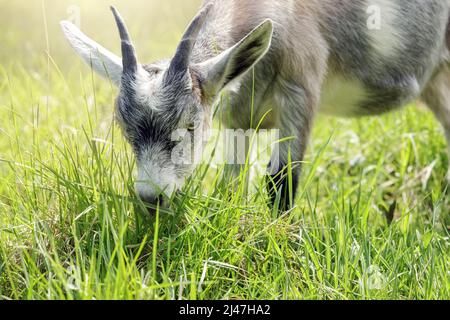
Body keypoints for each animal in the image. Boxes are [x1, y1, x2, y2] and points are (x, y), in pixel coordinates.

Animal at [61, 0, 450, 212]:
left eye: (190, 125)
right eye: (126, 130)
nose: (150, 196)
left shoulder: (301, 85)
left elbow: (281, 181)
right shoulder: (238, 116)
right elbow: (232, 181)